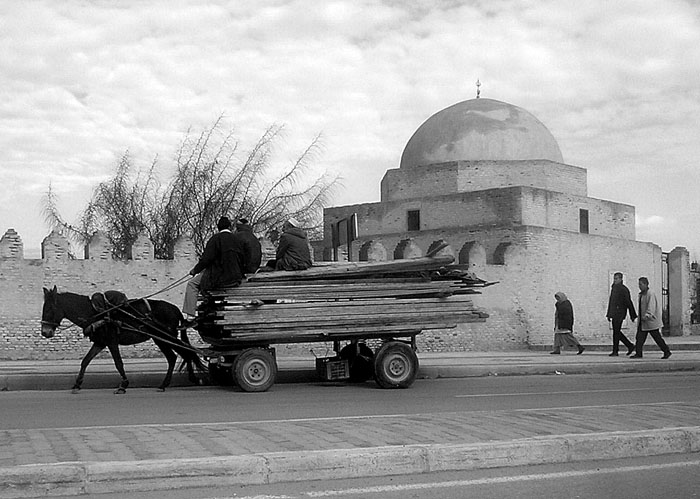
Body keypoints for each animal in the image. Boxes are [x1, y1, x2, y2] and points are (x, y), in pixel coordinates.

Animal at [41, 288, 206, 396]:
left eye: (49, 309)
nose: (45, 332)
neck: (96, 312)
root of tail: (175, 309)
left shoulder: (112, 341)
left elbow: (118, 363)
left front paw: (123, 385)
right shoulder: (100, 342)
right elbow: (85, 361)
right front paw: (77, 384)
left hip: (166, 337)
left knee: (185, 352)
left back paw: (187, 379)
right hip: (160, 338)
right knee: (175, 356)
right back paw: (168, 383)